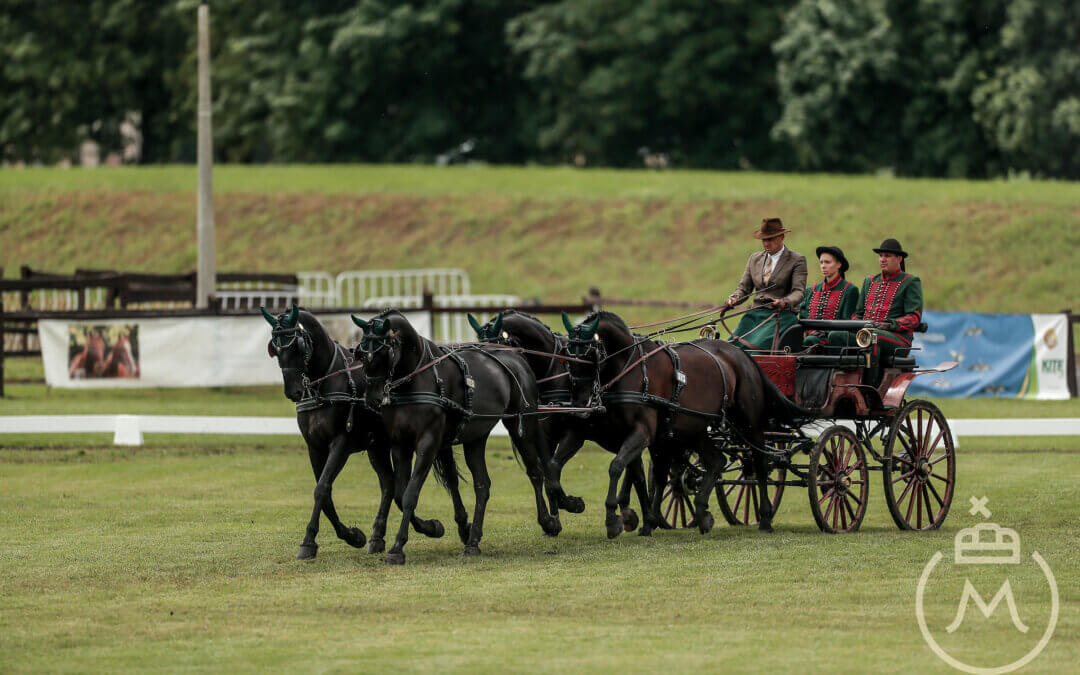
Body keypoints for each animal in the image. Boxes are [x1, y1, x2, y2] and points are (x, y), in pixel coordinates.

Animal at [260, 304, 442, 557]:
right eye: (274, 348)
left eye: (297, 345)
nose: (293, 391)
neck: (322, 384)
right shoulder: (315, 447)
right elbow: (324, 493)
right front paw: (351, 536)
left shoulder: (341, 444)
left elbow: (322, 488)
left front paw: (310, 541)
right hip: (377, 447)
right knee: (389, 484)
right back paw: (377, 537)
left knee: (394, 487)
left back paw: (427, 527)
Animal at [354, 308, 561, 561]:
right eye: (361, 354)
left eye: (384, 352)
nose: (372, 399)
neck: (415, 379)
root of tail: (515, 356)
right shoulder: (400, 444)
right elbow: (401, 495)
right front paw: (433, 527)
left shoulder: (428, 444)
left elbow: (411, 493)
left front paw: (398, 547)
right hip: (476, 437)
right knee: (482, 485)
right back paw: (473, 540)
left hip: (522, 424)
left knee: (535, 472)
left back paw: (548, 522)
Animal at [466, 311, 648, 531]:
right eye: (479, 345)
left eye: (498, 345)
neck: (552, 372)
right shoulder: (545, 436)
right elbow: (548, 473)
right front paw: (555, 517)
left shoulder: (575, 434)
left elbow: (552, 469)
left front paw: (570, 504)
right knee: (633, 463)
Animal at [565, 311, 786, 537]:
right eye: (567, 354)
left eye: (589, 354)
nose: (579, 402)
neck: (631, 367)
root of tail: (743, 355)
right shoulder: (636, 435)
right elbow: (644, 474)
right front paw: (644, 520)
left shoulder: (642, 432)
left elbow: (617, 466)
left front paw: (613, 519)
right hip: (695, 429)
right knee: (716, 461)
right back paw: (701, 512)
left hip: (750, 423)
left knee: (759, 463)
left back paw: (765, 518)